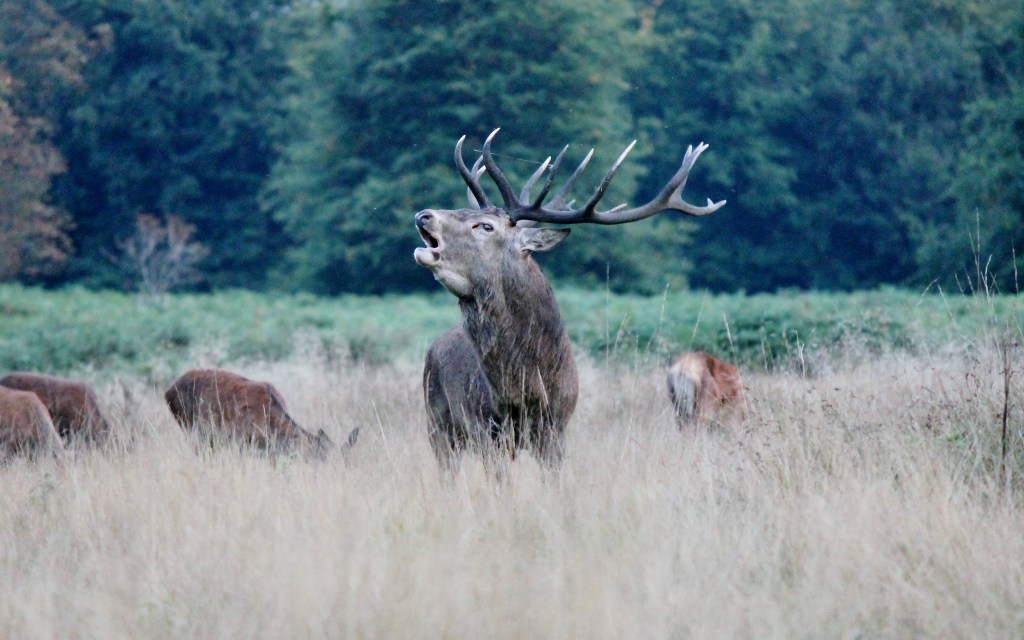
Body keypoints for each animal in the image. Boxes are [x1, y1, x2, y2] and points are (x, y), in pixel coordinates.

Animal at [414, 128, 725, 469]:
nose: (424, 215)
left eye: (484, 225)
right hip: (437, 424)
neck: (524, 388)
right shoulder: (485, 429)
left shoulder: (556, 429)